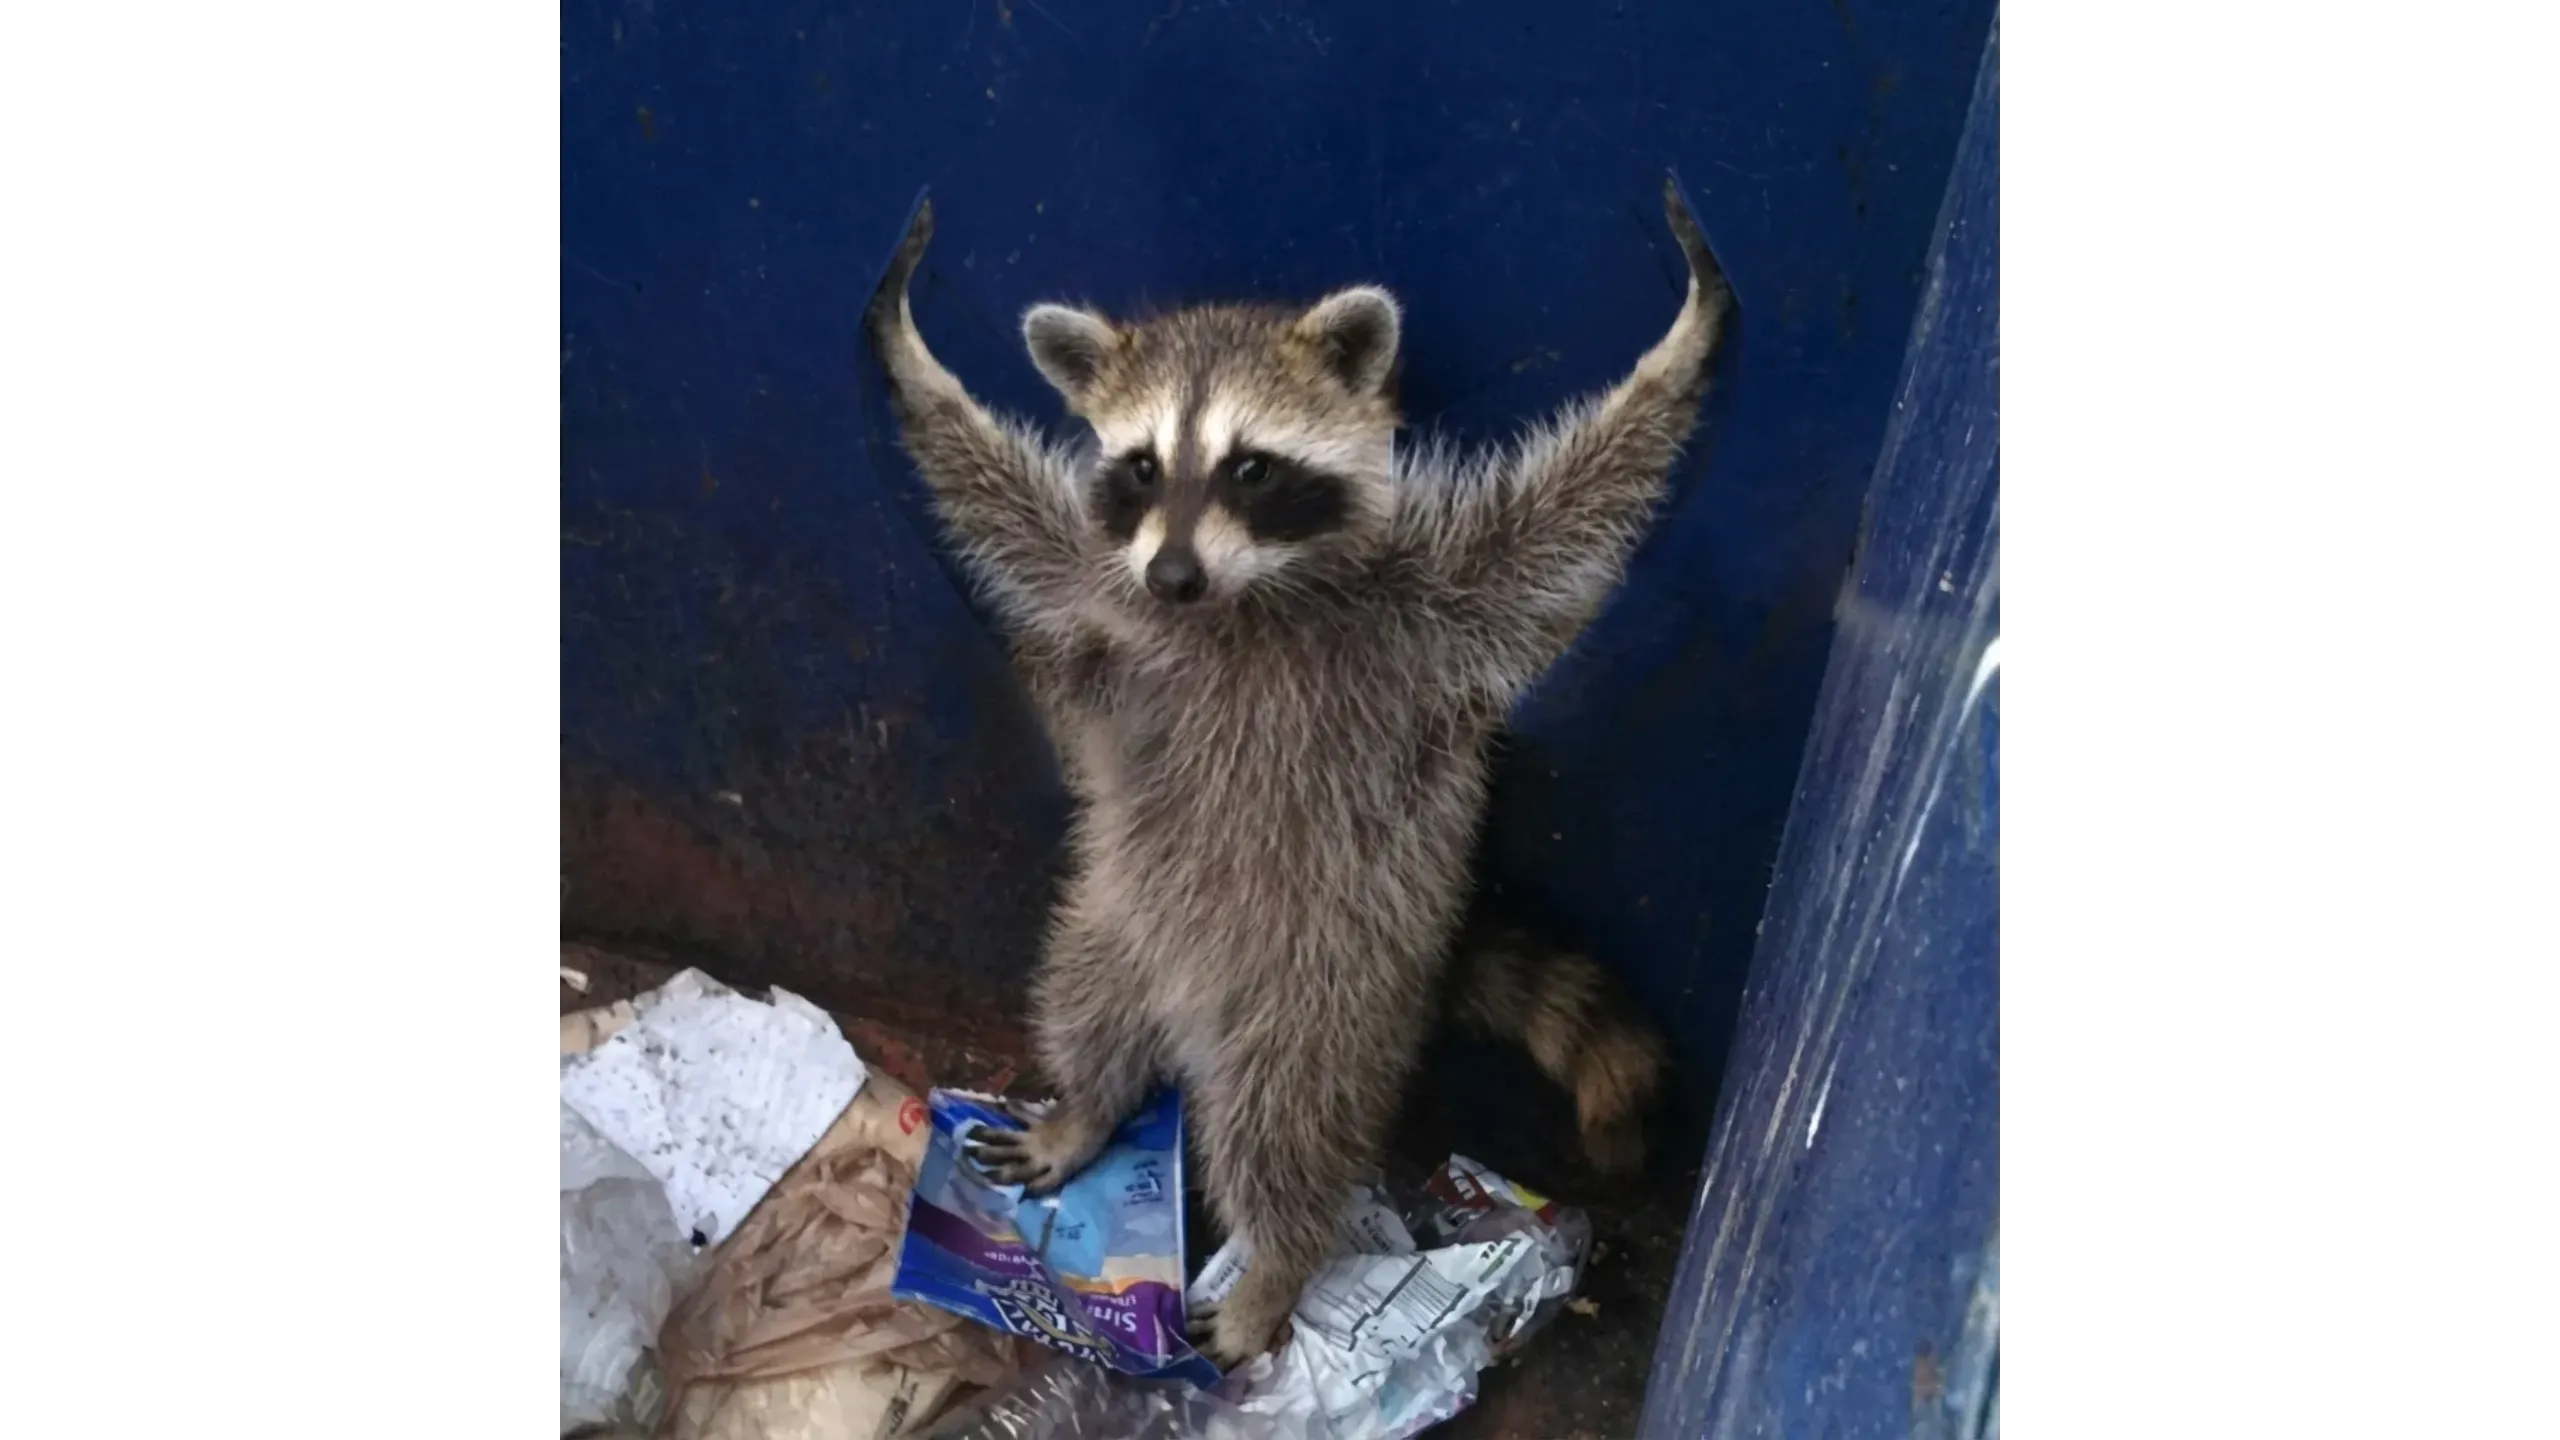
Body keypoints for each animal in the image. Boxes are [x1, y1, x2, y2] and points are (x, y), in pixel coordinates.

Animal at [864, 179, 1732, 1368]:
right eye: (1142, 467)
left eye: (1251, 466)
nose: (1173, 574)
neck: (1239, 599)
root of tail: (1189, 1010)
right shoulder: (1104, 587)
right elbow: (1006, 512)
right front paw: (916, 369)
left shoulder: (1431, 612)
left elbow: (1563, 520)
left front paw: (1676, 361)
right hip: (1115, 917)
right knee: (1083, 999)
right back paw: (1089, 1106)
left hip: (1318, 990)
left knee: (1283, 1130)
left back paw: (1274, 1263)